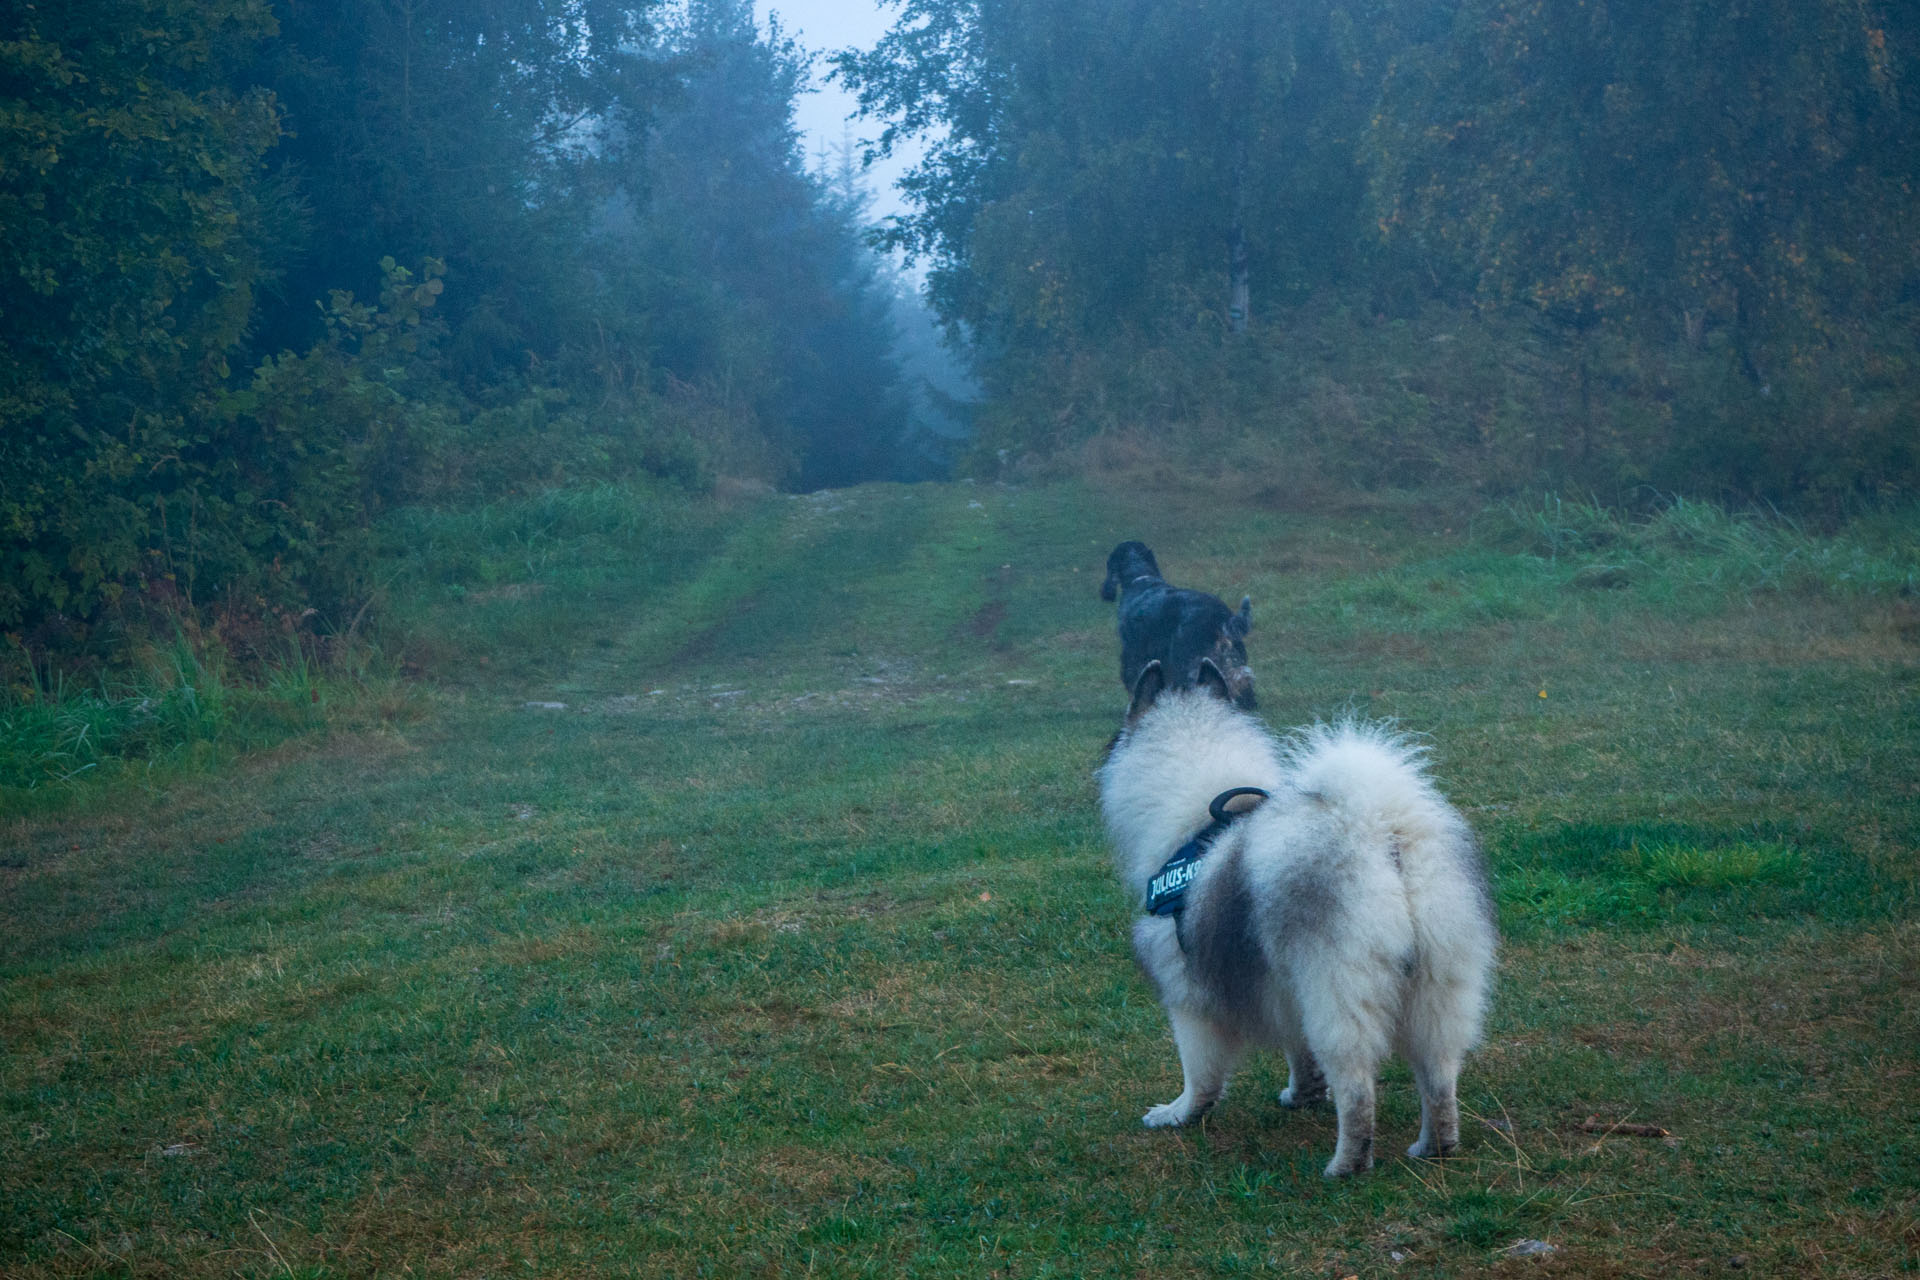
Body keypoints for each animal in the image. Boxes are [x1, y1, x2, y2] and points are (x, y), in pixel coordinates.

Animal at [1098, 545, 1259, 710]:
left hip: (1192, 664)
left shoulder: (1133, 654)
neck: (1141, 578)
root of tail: (1221, 616)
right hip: (1232, 660)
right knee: (1242, 682)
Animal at [1098, 667, 1497, 1174]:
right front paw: (1302, 1094)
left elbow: (1200, 1072)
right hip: (1439, 986)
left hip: (1339, 992)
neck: (1198, 822)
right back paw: (1435, 1146)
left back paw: (1346, 1166)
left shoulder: (1187, 991)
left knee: (1357, 1090)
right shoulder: (1285, 986)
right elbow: (1298, 1051)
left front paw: (1179, 1113)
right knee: (1439, 1077)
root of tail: (1378, 829)